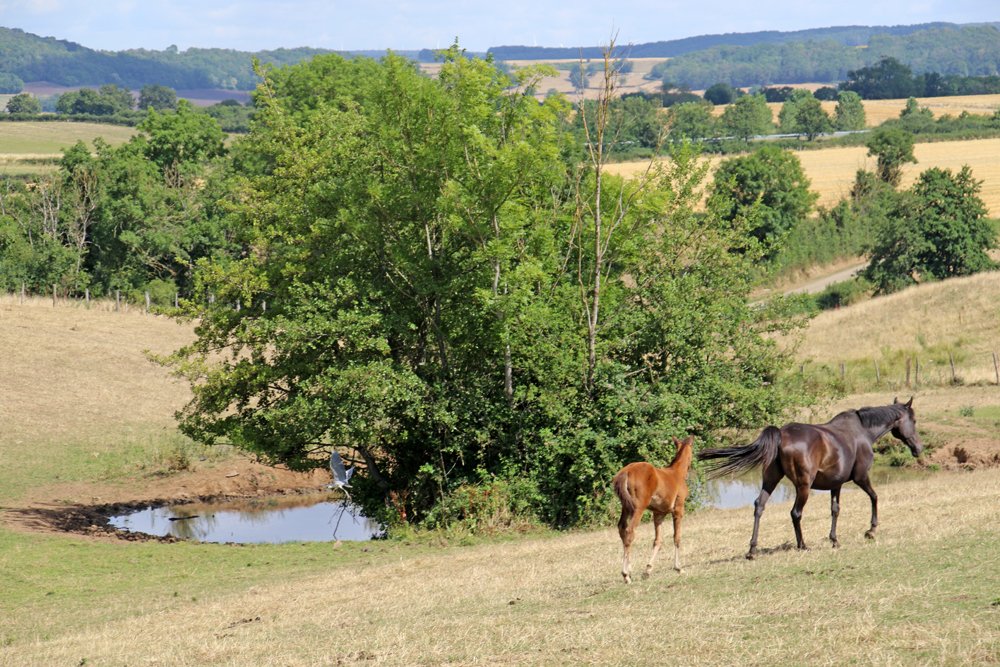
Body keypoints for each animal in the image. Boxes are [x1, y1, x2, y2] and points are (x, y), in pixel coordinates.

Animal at [612, 436, 694, 584]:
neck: (677, 472)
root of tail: (626, 471)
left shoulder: (658, 514)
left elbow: (658, 540)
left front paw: (648, 570)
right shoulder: (678, 509)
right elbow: (677, 537)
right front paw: (679, 568)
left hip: (625, 506)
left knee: (622, 528)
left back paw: (629, 571)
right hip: (639, 507)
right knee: (630, 531)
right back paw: (626, 575)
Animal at [698, 398, 923, 560]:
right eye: (913, 420)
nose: (919, 448)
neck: (862, 432)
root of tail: (781, 434)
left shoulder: (836, 484)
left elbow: (835, 510)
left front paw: (834, 540)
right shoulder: (861, 478)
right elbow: (874, 497)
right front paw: (871, 530)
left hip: (770, 480)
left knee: (759, 506)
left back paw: (752, 550)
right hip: (803, 487)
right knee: (795, 513)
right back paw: (802, 545)